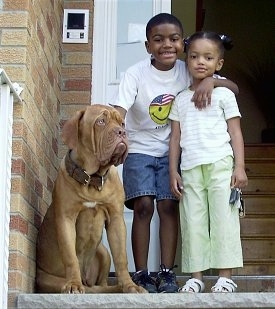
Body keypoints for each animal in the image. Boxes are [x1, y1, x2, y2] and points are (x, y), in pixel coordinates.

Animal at [36, 104, 147, 292]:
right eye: (101, 121)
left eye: (122, 123)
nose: (122, 132)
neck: (92, 178)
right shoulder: (66, 219)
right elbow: (70, 256)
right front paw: (73, 284)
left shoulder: (116, 219)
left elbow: (122, 258)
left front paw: (130, 286)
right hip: (49, 280)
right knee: (91, 288)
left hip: (104, 252)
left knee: (100, 284)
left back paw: (117, 287)